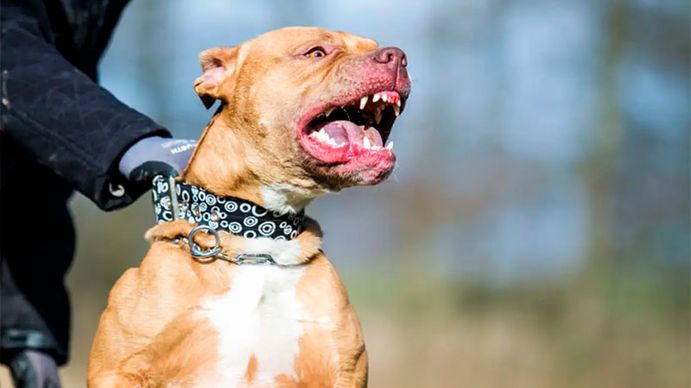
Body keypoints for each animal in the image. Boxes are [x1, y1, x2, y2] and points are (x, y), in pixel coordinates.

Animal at [86, 25, 410, 386]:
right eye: (316, 52)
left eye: (374, 46)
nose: (397, 56)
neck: (259, 240)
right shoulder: (119, 369)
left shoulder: (342, 370)